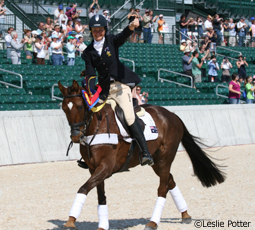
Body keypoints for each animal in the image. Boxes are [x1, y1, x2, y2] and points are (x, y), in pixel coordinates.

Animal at [57, 79, 225, 230]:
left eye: (80, 107)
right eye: (64, 108)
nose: (75, 137)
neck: (97, 126)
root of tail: (172, 115)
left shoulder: (106, 168)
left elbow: (83, 189)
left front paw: (70, 222)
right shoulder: (94, 168)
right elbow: (100, 196)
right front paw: (102, 226)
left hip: (165, 157)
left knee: (162, 189)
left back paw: (153, 223)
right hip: (156, 161)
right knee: (170, 181)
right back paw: (185, 215)